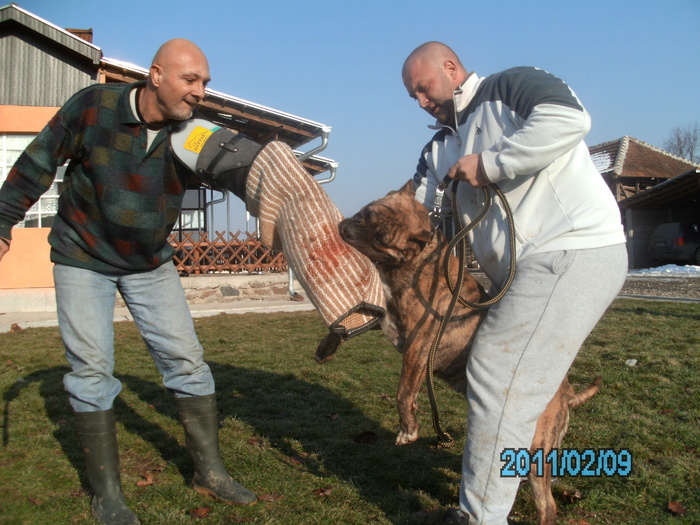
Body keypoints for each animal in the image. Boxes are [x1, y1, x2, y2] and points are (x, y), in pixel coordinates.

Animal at [322, 181, 600, 524]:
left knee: (547, 504)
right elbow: (353, 316)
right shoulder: (388, 319)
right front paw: (329, 344)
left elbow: (403, 392)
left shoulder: (418, 346)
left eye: (382, 236)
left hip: (537, 449)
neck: (415, 261)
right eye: (365, 212)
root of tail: (565, 393)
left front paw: (408, 430)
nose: (347, 226)